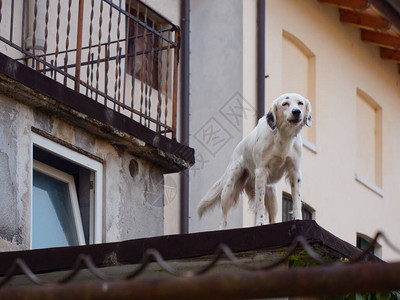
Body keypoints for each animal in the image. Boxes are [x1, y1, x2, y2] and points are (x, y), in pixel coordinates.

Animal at [198, 92, 310, 229]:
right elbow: (260, 203)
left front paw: (298, 218)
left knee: (272, 217)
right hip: (229, 188)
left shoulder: (295, 172)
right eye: (285, 104)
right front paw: (260, 222)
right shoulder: (261, 172)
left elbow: (296, 200)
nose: (296, 111)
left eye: (300, 103)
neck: (282, 137)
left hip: (272, 195)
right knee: (223, 217)